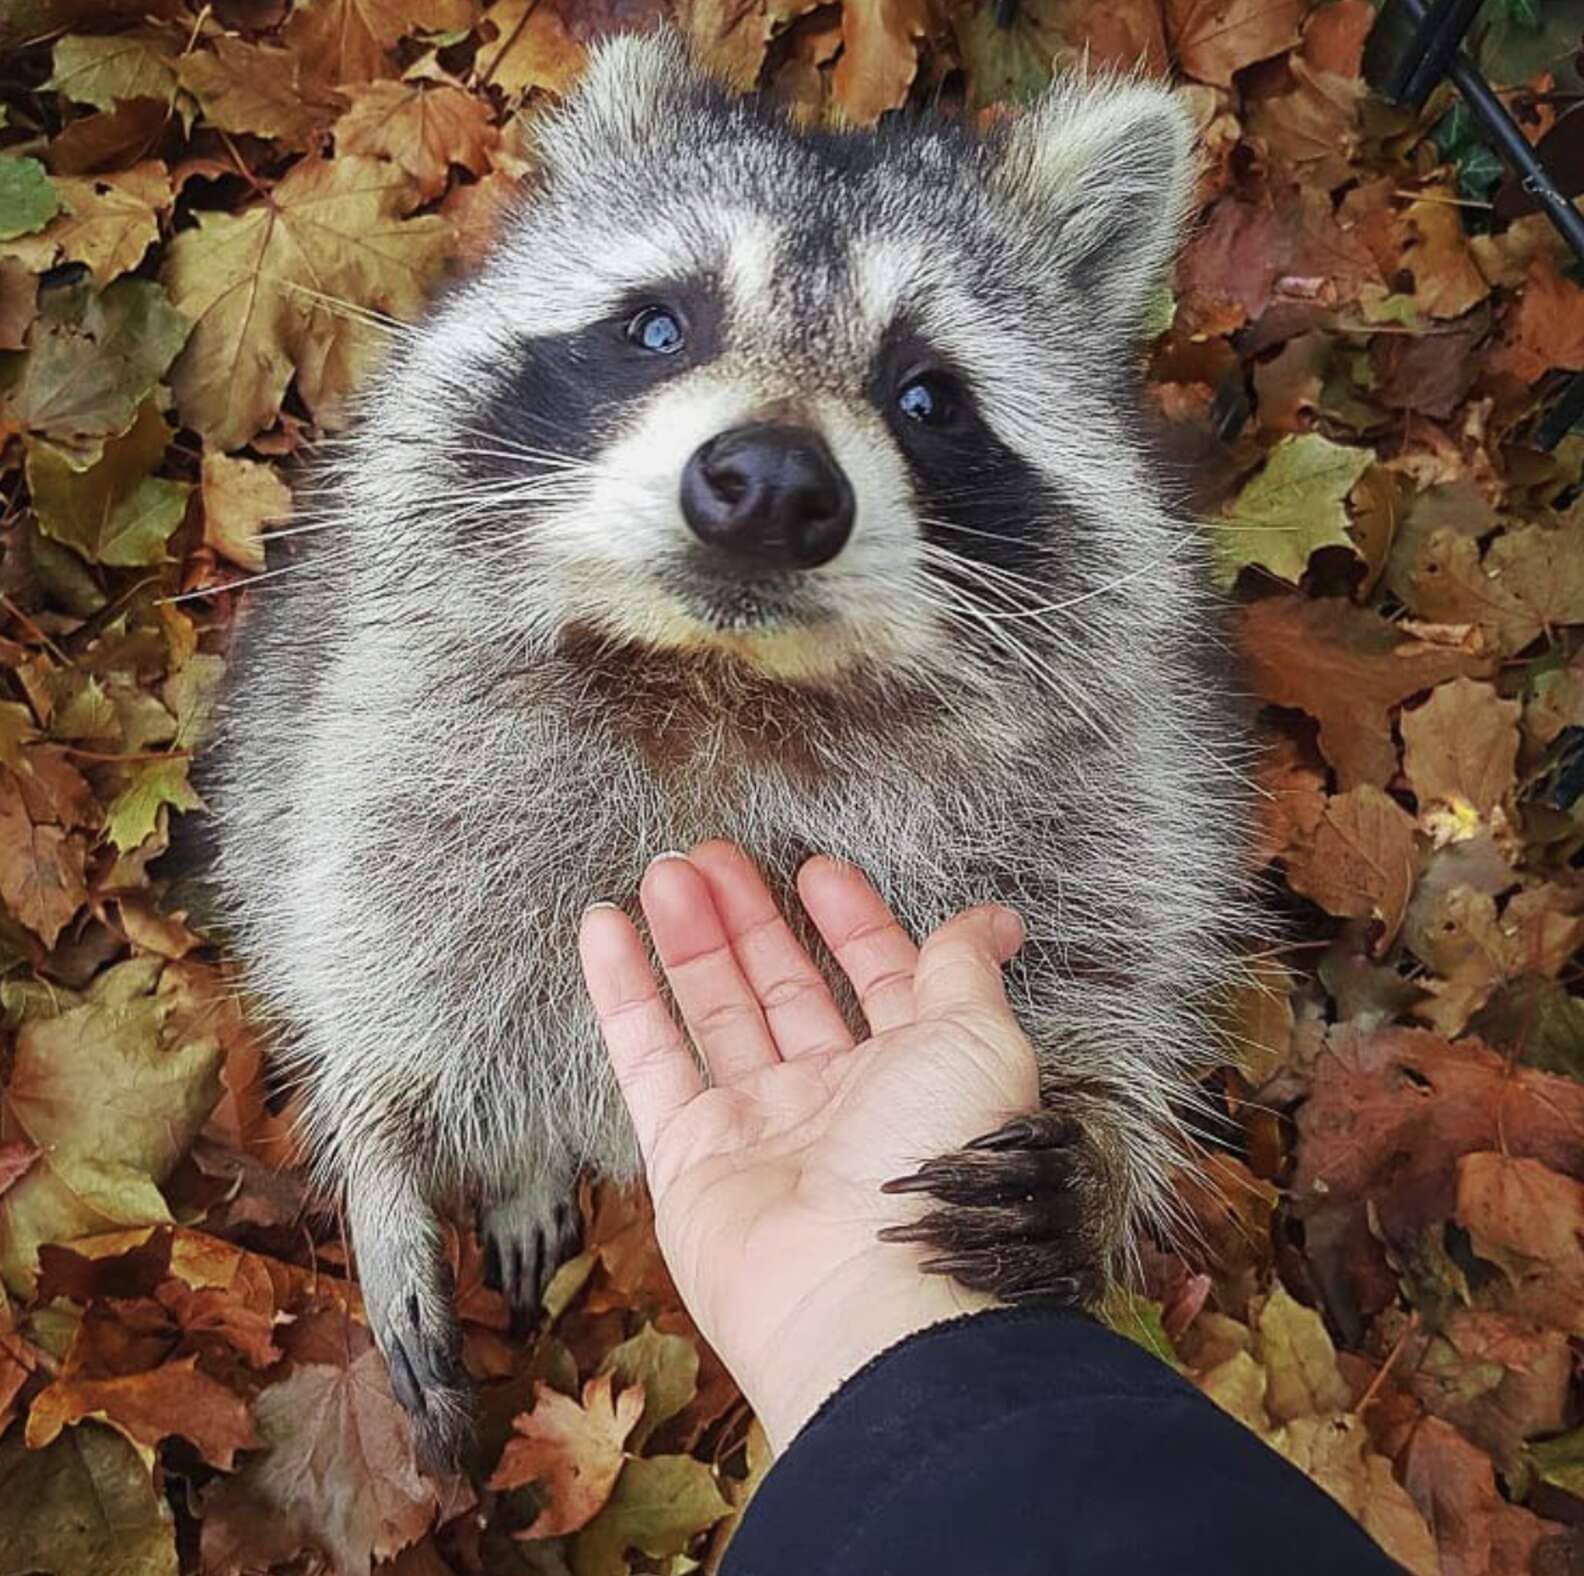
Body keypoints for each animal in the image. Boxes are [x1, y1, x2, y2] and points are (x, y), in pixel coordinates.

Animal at [207, 30, 1248, 1469]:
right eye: (658, 325)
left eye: (929, 395)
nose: (769, 484)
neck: (723, 688)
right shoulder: (377, 729)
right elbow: (358, 940)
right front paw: (380, 1147)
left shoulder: (1115, 795)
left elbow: (1116, 966)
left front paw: (1094, 1152)